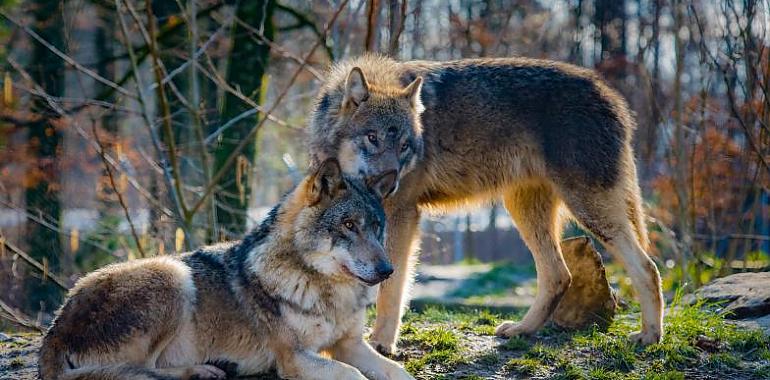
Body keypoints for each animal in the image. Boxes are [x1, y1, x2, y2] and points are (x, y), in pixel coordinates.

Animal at [38, 158, 412, 380]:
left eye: (376, 226)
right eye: (348, 225)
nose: (387, 270)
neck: (324, 289)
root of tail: (54, 330)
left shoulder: (350, 344)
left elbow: (398, 372)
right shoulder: (294, 357)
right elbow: (355, 375)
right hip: (171, 274)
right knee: (141, 371)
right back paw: (205, 370)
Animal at [308, 54, 664, 354]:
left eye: (405, 146)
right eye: (373, 138)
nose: (390, 184)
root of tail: (612, 95)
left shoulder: (402, 215)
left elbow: (391, 285)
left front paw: (381, 343)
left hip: (589, 210)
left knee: (647, 267)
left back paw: (649, 336)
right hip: (525, 210)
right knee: (559, 275)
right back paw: (522, 330)